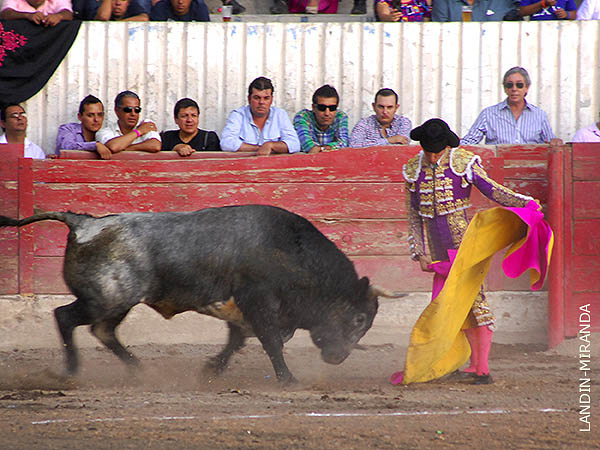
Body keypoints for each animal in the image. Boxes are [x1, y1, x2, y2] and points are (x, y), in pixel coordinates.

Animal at [0, 206, 406, 384]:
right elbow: (270, 341)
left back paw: (139, 369)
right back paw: (70, 370)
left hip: (118, 303)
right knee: (65, 317)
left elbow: (237, 340)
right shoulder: (260, 302)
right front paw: (288, 379)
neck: (294, 254)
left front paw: (211, 370)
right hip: (108, 298)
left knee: (103, 331)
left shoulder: (248, 310)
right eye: (358, 318)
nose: (338, 358)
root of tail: (84, 223)